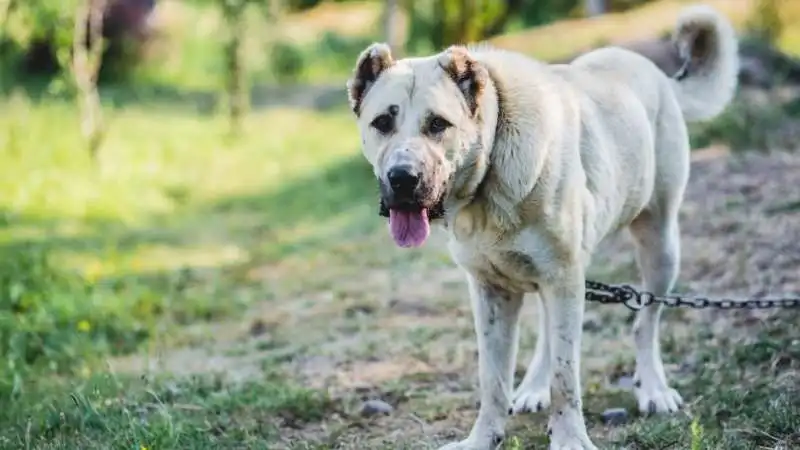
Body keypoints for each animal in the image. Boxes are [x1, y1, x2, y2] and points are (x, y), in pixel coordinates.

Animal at [344, 4, 736, 450]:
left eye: (438, 124)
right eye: (382, 123)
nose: (403, 178)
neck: (488, 176)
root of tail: (659, 75)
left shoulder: (562, 277)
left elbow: (566, 378)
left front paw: (570, 439)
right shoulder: (493, 292)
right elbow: (493, 378)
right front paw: (483, 437)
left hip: (659, 245)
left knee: (645, 322)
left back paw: (653, 389)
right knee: (551, 333)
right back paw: (533, 388)